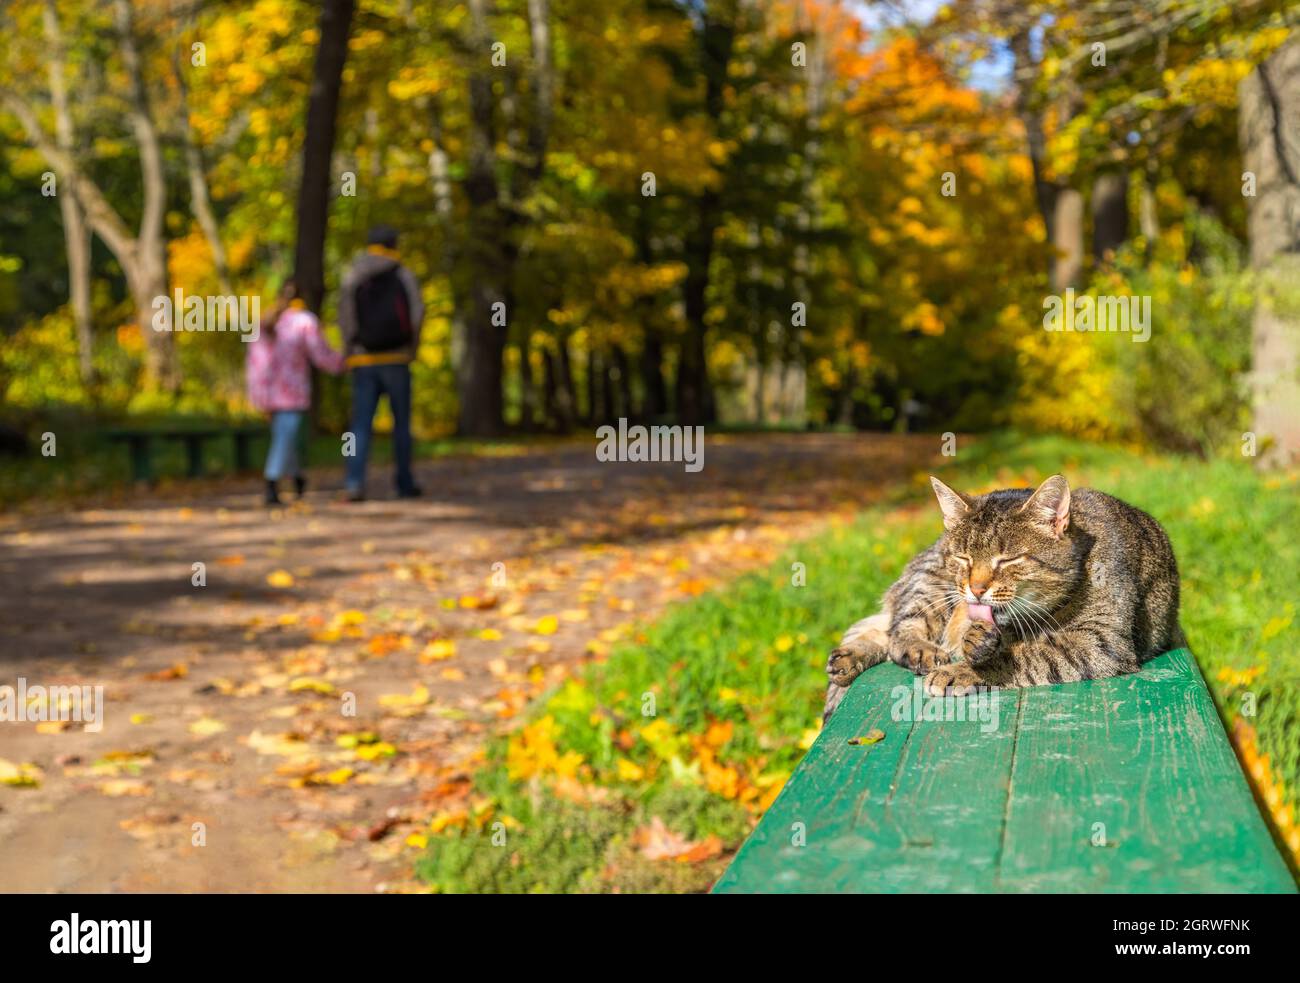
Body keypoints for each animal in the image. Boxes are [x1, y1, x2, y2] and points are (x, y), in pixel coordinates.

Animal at [826, 475, 1185, 722]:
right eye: (964, 558)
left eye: (1008, 560)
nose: (976, 588)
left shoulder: (1101, 641)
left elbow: (1030, 654)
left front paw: (965, 667)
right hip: (932, 586)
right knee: (899, 631)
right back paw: (905, 651)